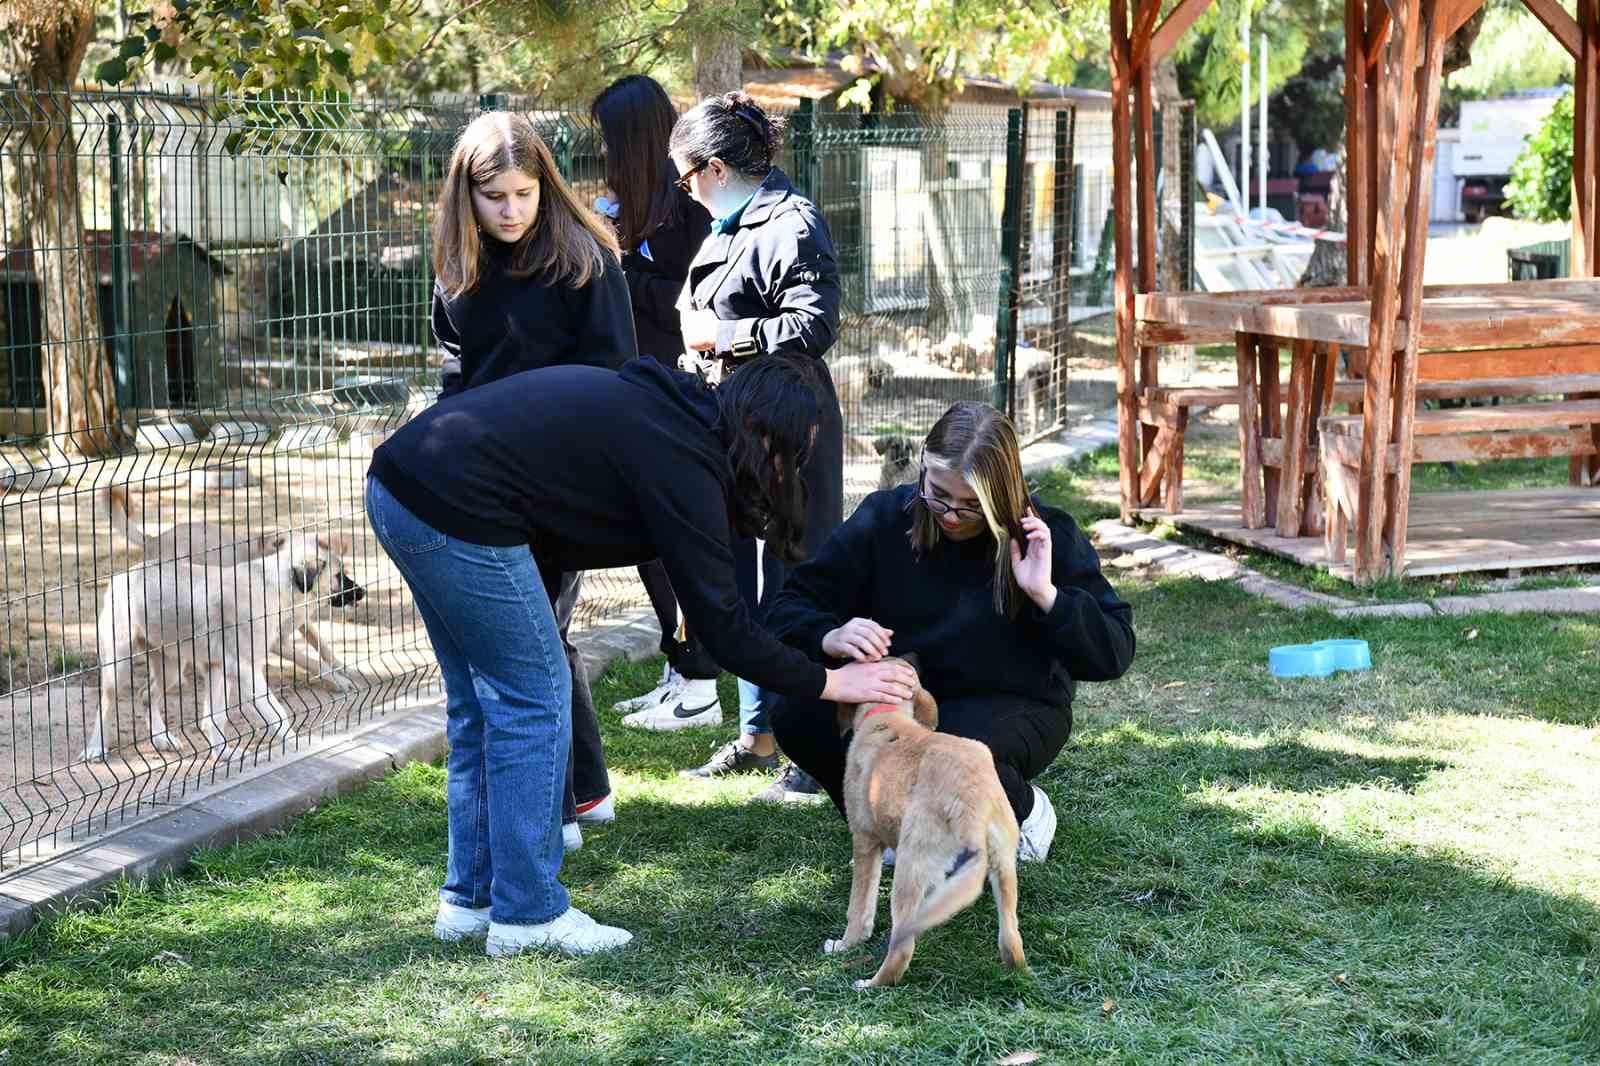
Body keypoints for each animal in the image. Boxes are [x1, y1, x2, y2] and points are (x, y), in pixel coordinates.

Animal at [825, 656, 1024, 985]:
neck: (888, 715)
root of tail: (970, 800)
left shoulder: (865, 838)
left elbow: (859, 907)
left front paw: (845, 944)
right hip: (1004, 864)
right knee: (1011, 936)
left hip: (911, 865)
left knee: (901, 949)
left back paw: (870, 984)